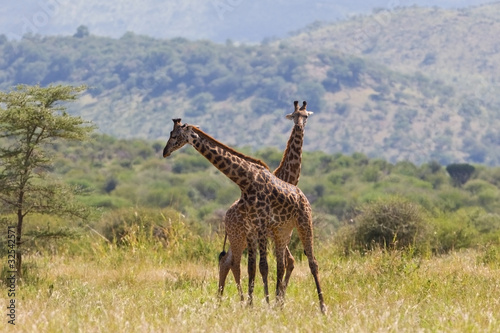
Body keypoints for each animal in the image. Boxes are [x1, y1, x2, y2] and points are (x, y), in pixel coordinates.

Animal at [219, 100, 312, 304]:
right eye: (294, 115)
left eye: (305, 116)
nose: (299, 127)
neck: (287, 177)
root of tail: (226, 215)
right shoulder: (273, 232)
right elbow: (281, 263)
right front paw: (275, 298)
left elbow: (289, 262)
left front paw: (280, 298)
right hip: (239, 236)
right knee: (230, 261)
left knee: (225, 260)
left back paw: (220, 298)